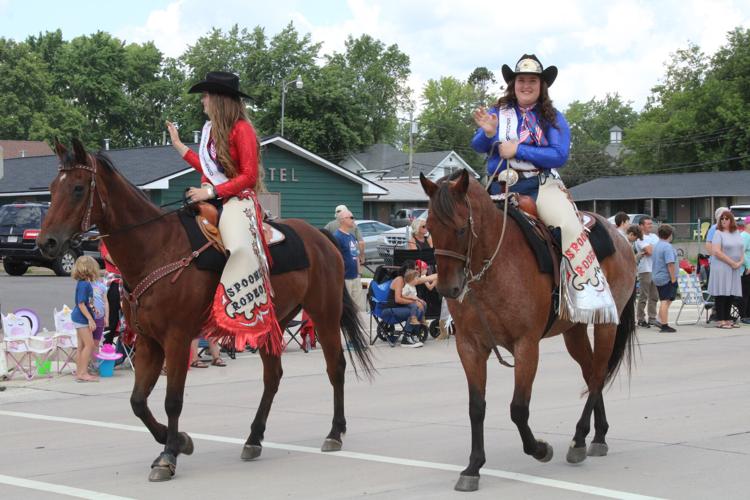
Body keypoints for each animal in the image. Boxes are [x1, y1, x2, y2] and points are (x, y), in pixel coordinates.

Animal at [36, 139, 374, 482]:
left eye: (78, 188)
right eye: (51, 188)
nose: (46, 242)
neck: (156, 247)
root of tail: (322, 237)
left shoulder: (176, 338)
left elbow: (172, 400)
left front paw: (168, 456)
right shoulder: (147, 341)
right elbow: (138, 402)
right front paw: (179, 441)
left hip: (325, 314)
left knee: (336, 367)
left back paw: (334, 432)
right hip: (270, 323)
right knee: (273, 377)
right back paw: (253, 439)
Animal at [420, 171, 636, 492]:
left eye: (460, 229)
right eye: (430, 227)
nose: (448, 289)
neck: (494, 265)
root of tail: (620, 237)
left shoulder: (526, 345)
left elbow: (518, 408)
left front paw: (540, 449)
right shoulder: (470, 346)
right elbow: (476, 407)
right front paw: (473, 467)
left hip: (607, 323)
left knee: (598, 375)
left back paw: (579, 439)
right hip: (574, 330)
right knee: (589, 372)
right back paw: (597, 435)